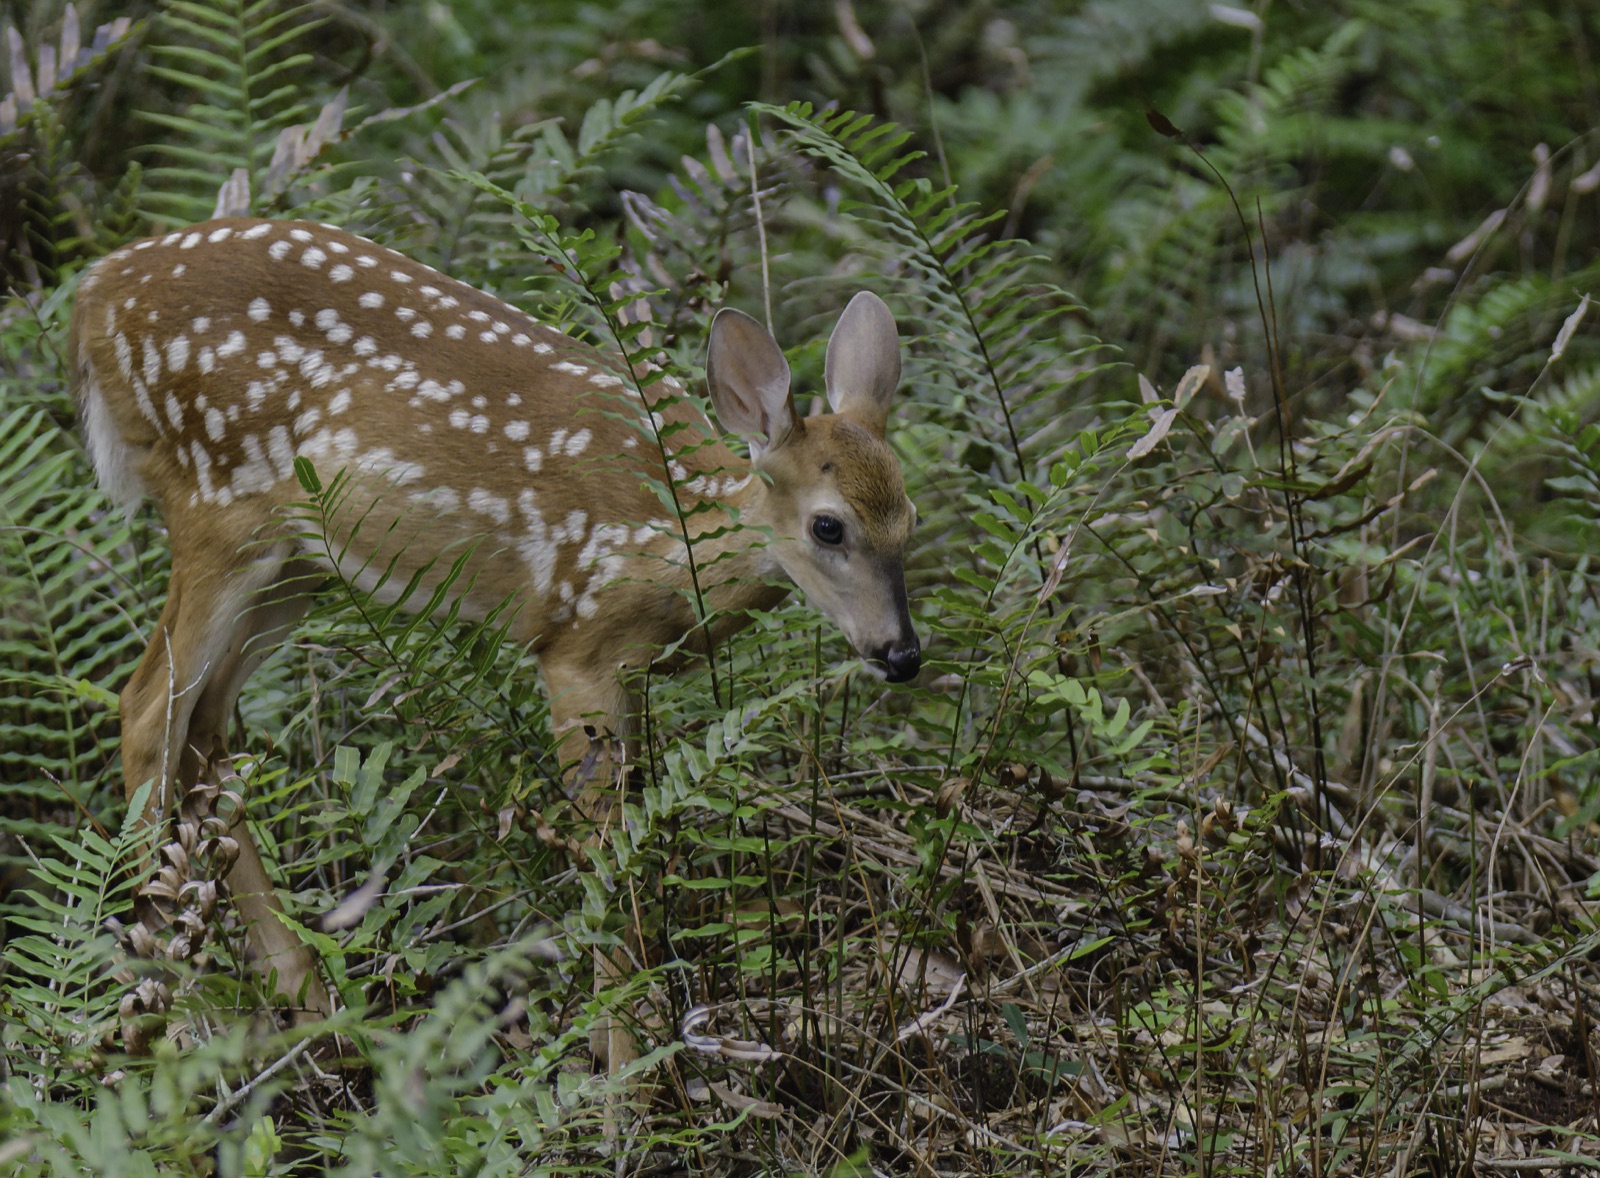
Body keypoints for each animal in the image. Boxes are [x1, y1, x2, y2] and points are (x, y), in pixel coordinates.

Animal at [70, 217, 921, 1057]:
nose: (903, 654)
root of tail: (95, 289)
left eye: (910, 519)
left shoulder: (631, 669)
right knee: (146, 709)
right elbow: (608, 855)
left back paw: (316, 1016)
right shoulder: (574, 644)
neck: (670, 528)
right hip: (216, 501)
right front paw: (624, 1074)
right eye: (828, 525)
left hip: (296, 562)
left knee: (205, 726)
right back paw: (177, 1021)